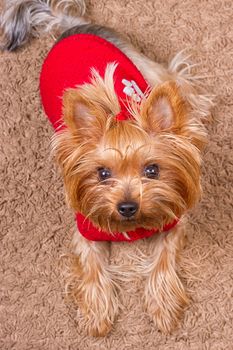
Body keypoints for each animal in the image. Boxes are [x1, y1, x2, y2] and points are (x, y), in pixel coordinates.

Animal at [0, 0, 214, 336]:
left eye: (152, 170)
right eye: (102, 174)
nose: (127, 207)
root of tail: (69, 25)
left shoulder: (173, 219)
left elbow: (163, 258)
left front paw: (163, 306)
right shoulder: (86, 229)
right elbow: (92, 266)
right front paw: (97, 315)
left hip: (144, 66)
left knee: (177, 82)